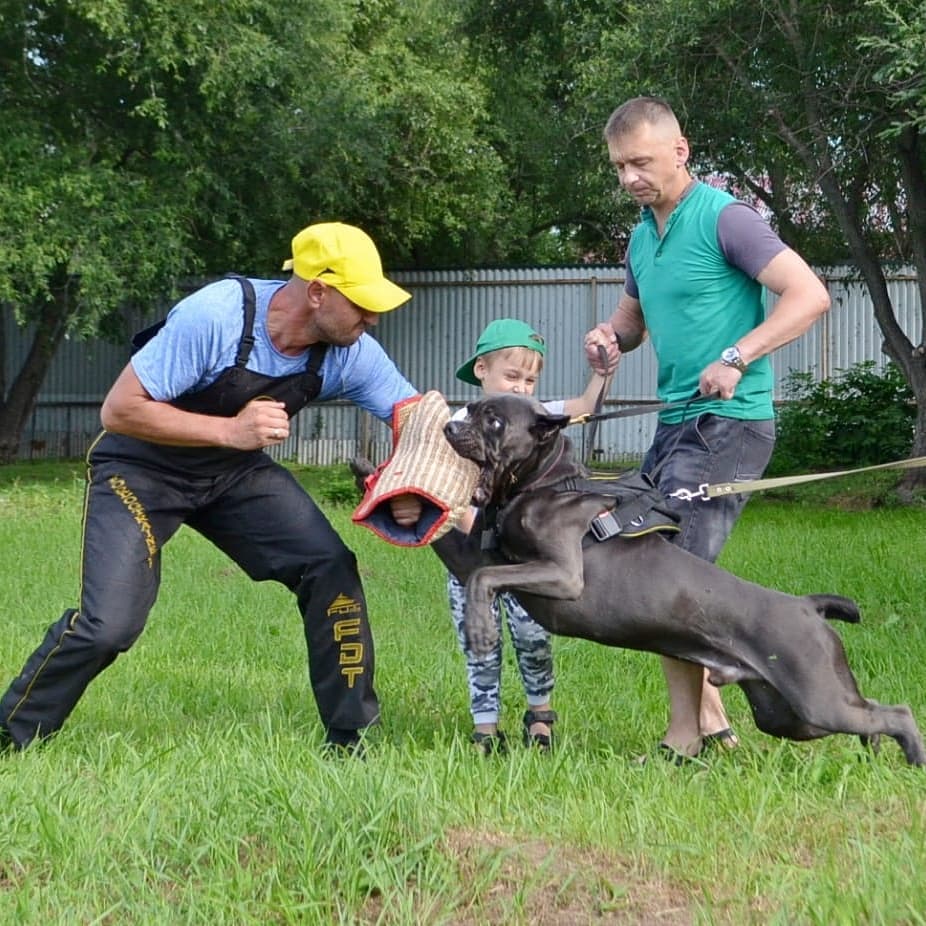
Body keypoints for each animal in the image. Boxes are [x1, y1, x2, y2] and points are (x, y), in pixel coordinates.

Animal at [432, 396, 924, 764]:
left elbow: (486, 577)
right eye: (471, 409)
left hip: (815, 697)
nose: (450, 428)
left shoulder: (563, 575)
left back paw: (913, 758)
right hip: (787, 714)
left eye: (493, 420)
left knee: (896, 713)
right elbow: (469, 559)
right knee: (869, 713)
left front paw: (479, 630)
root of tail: (808, 605)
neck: (547, 484)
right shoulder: (475, 554)